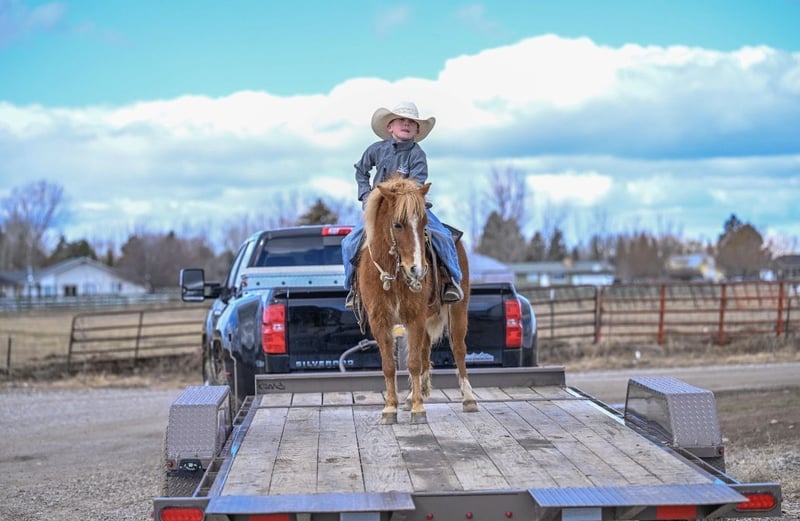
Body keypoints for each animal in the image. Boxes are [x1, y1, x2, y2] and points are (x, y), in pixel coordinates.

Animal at [356, 174, 477, 424]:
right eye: (397, 224)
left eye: (423, 224)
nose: (418, 270)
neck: (392, 275)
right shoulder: (380, 320)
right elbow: (390, 365)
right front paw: (390, 408)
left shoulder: (415, 318)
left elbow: (412, 363)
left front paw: (418, 410)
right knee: (424, 352)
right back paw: (413, 395)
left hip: (457, 311)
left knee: (458, 349)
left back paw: (468, 398)